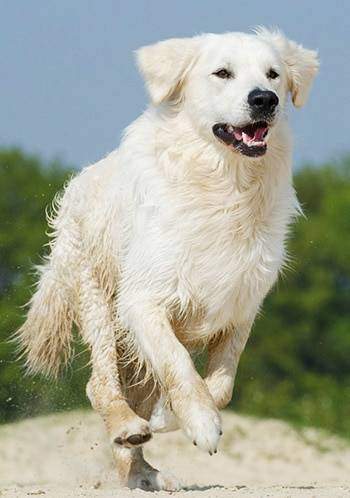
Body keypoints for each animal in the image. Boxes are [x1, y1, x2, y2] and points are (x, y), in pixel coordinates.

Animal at [17, 29, 318, 492]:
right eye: (222, 72)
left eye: (273, 74)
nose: (264, 99)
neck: (225, 185)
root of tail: (74, 188)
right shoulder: (143, 300)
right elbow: (178, 364)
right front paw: (200, 423)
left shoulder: (242, 305)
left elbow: (221, 384)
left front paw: (175, 417)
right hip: (97, 299)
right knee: (99, 384)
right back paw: (127, 427)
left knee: (133, 398)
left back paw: (143, 473)